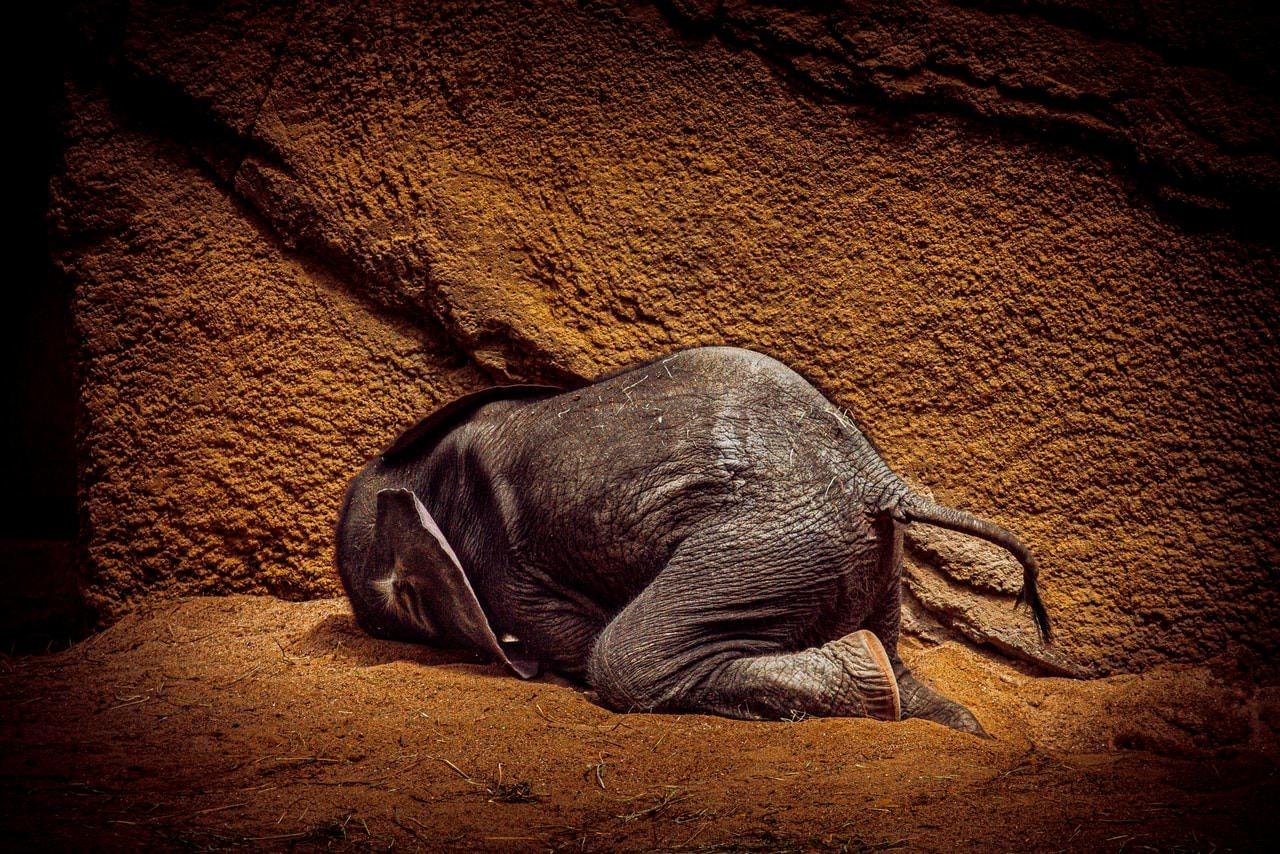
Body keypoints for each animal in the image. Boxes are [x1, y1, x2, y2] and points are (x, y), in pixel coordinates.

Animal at [336, 346, 1050, 734]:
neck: (419, 474)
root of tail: (875, 477)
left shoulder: (503, 559)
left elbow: (571, 639)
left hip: (767, 541)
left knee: (624, 659)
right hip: (859, 554)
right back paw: (951, 721)